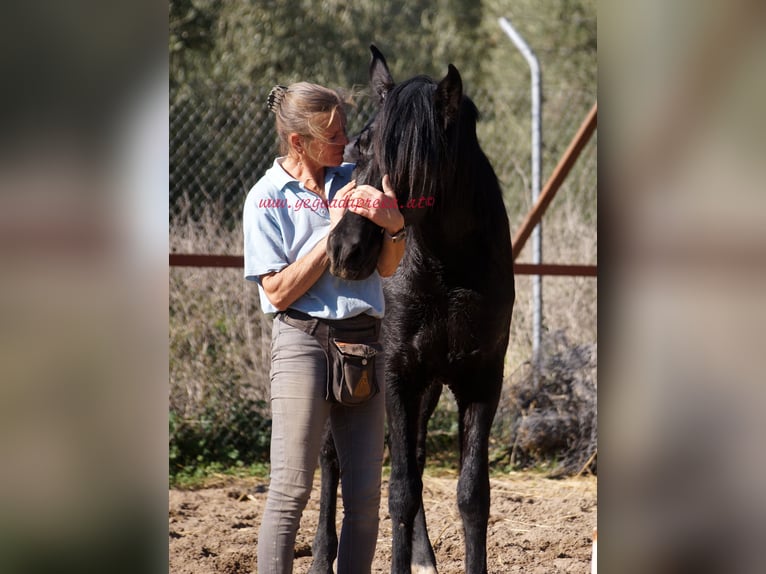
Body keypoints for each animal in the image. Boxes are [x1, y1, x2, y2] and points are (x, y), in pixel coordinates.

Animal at [314, 46, 516, 574]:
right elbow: (401, 490)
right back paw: (321, 557)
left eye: (414, 160)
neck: (446, 270)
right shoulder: (396, 373)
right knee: (330, 459)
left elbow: (472, 494)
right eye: (363, 146)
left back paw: (425, 558)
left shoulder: (480, 379)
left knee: (419, 455)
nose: (346, 249)